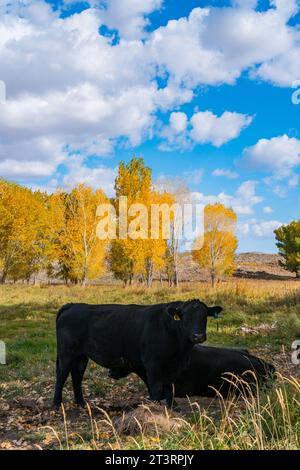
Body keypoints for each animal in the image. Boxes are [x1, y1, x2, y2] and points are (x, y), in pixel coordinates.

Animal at [54, 302, 223, 408]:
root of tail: (73, 305)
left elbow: (170, 386)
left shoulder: (172, 367)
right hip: (66, 353)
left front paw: (173, 407)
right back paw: (57, 404)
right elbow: (155, 388)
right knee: (62, 374)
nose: (198, 336)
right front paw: (155, 408)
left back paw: (81, 403)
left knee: (77, 375)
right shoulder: (152, 364)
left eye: (204, 316)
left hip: (81, 355)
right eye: (185, 317)